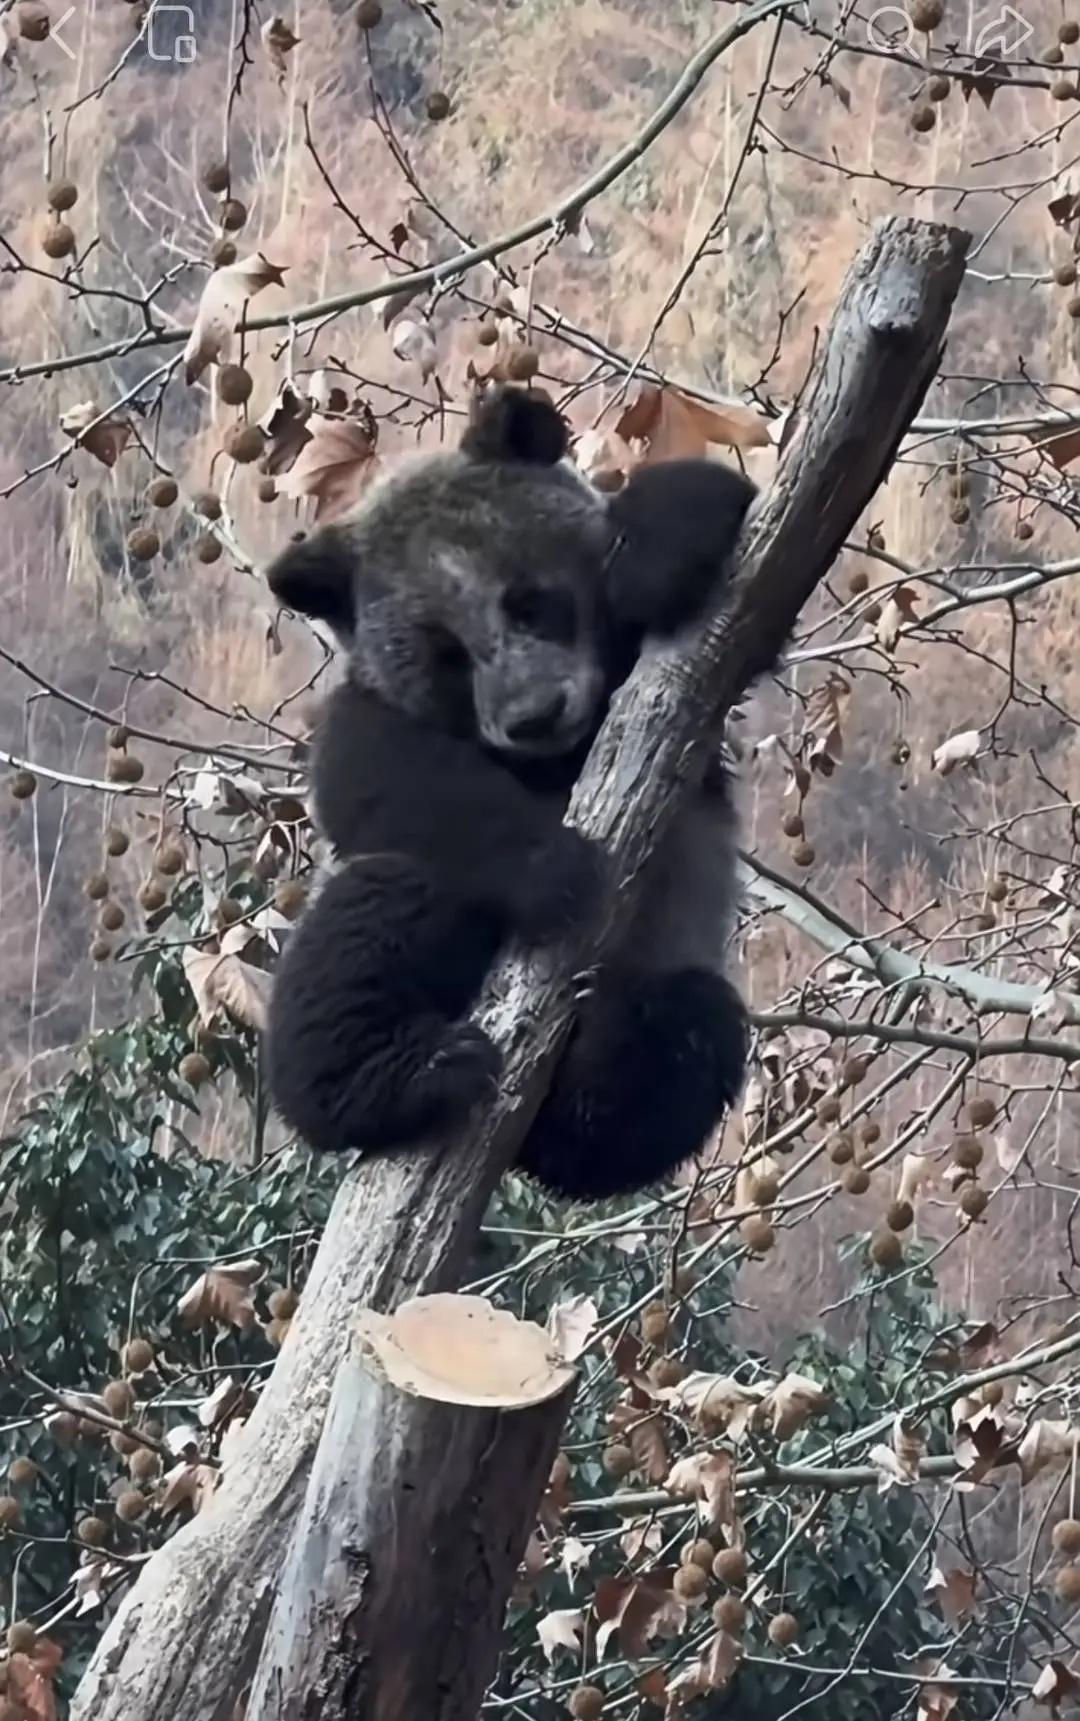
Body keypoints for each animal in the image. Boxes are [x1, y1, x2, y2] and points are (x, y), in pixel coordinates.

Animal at [263, 384, 756, 1201]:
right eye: (448, 656)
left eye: (530, 603)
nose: (533, 716)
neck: (559, 760)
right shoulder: (373, 710)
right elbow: (378, 780)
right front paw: (556, 870)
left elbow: (711, 521)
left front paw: (651, 554)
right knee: (371, 927)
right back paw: (403, 1077)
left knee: (680, 1046)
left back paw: (598, 1075)